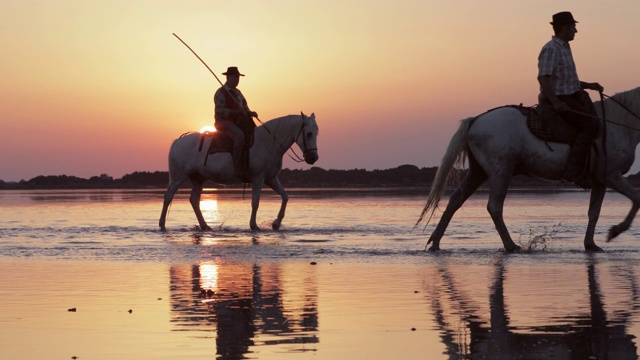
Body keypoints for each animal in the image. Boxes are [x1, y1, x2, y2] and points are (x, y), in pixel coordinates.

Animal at [160, 112, 320, 231]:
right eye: (309, 133)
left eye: (316, 133)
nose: (313, 158)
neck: (269, 142)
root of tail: (178, 141)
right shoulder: (258, 178)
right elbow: (255, 202)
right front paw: (254, 225)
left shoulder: (271, 178)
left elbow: (285, 196)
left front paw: (276, 223)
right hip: (179, 177)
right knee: (168, 196)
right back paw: (162, 224)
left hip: (198, 179)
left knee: (194, 200)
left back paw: (205, 226)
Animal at [418, 86, 640, 252]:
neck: (619, 124)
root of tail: (476, 120)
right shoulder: (612, 176)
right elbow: (636, 199)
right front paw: (616, 230)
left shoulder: (600, 181)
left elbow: (594, 212)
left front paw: (591, 244)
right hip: (501, 170)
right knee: (494, 206)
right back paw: (510, 245)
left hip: (477, 172)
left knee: (455, 201)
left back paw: (435, 242)